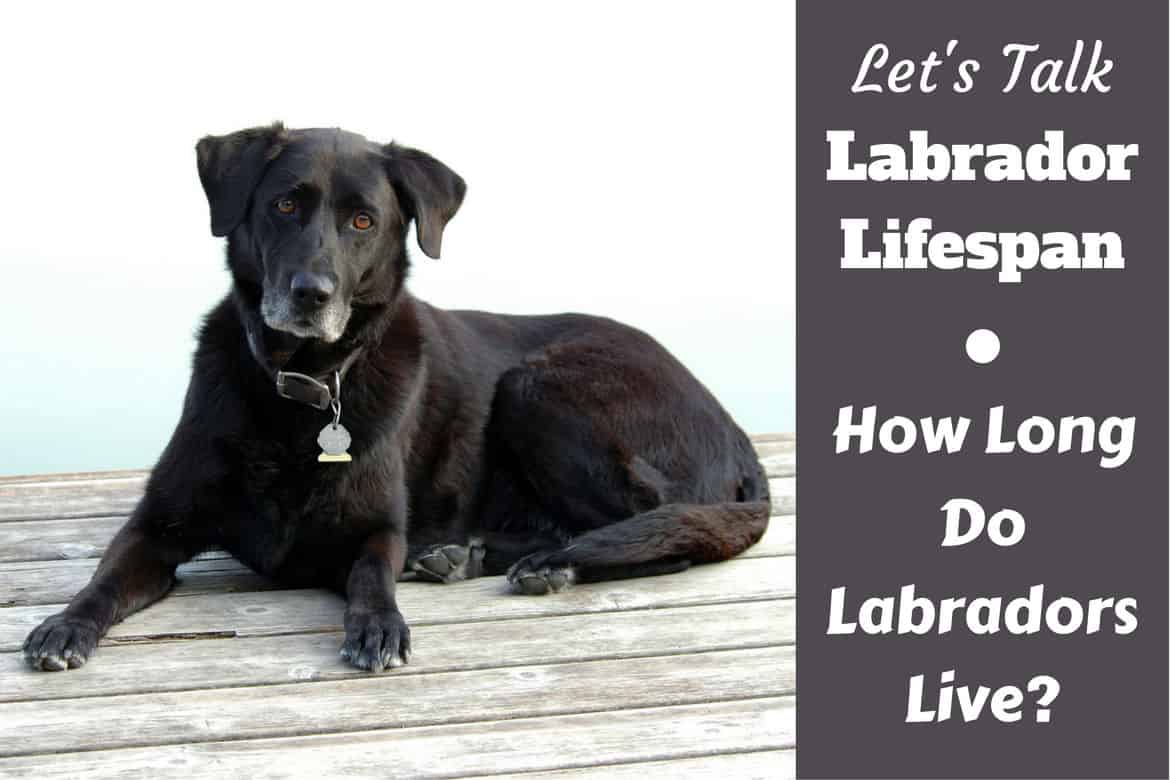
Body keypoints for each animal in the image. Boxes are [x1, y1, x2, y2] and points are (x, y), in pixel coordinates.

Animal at [22, 125, 767, 673]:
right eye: (284, 204)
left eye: (363, 220)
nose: (310, 294)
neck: (306, 387)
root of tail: (734, 430)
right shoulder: (157, 525)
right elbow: (105, 578)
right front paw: (66, 624)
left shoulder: (376, 527)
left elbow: (371, 574)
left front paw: (379, 625)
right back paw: (465, 556)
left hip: (535, 388)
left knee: (667, 523)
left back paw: (546, 564)